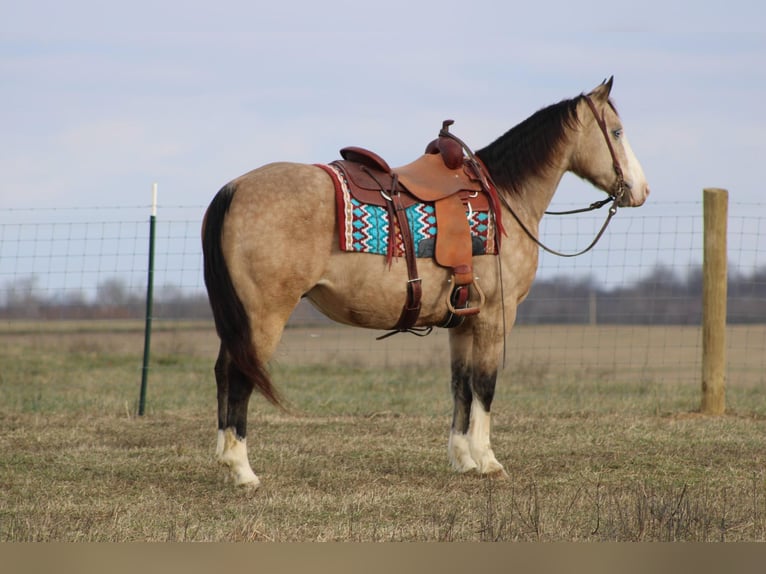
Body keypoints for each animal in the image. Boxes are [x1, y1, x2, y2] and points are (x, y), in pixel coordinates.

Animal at [202, 77, 648, 490]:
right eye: (616, 132)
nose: (640, 190)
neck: (504, 197)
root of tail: (234, 188)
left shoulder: (463, 322)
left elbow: (461, 387)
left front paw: (464, 460)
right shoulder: (495, 317)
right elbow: (485, 386)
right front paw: (488, 461)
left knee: (224, 370)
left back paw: (225, 460)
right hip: (264, 316)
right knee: (240, 376)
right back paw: (243, 471)